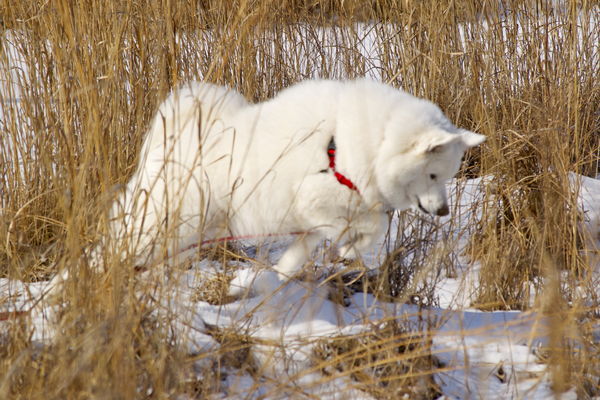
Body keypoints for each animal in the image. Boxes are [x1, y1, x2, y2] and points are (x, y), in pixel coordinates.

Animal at [88, 79, 482, 294]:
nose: (443, 211)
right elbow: (372, 224)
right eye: (433, 175)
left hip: (190, 229)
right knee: (114, 243)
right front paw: (350, 245)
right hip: (165, 219)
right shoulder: (316, 197)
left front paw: (278, 277)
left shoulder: (312, 223)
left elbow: (300, 254)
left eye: (447, 176)